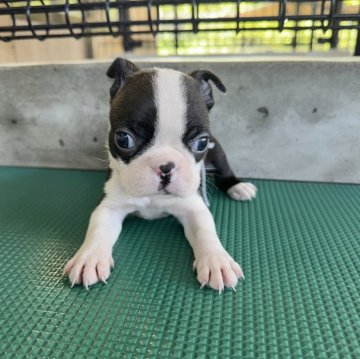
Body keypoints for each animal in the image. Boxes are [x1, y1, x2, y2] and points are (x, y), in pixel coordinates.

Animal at [64, 58, 256, 292]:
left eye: (201, 142)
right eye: (123, 139)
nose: (165, 166)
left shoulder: (193, 206)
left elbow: (205, 230)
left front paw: (217, 261)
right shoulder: (109, 206)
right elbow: (98, 228)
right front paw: (89, 258)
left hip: (217, 151)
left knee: (225, 170)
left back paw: (238, 186)